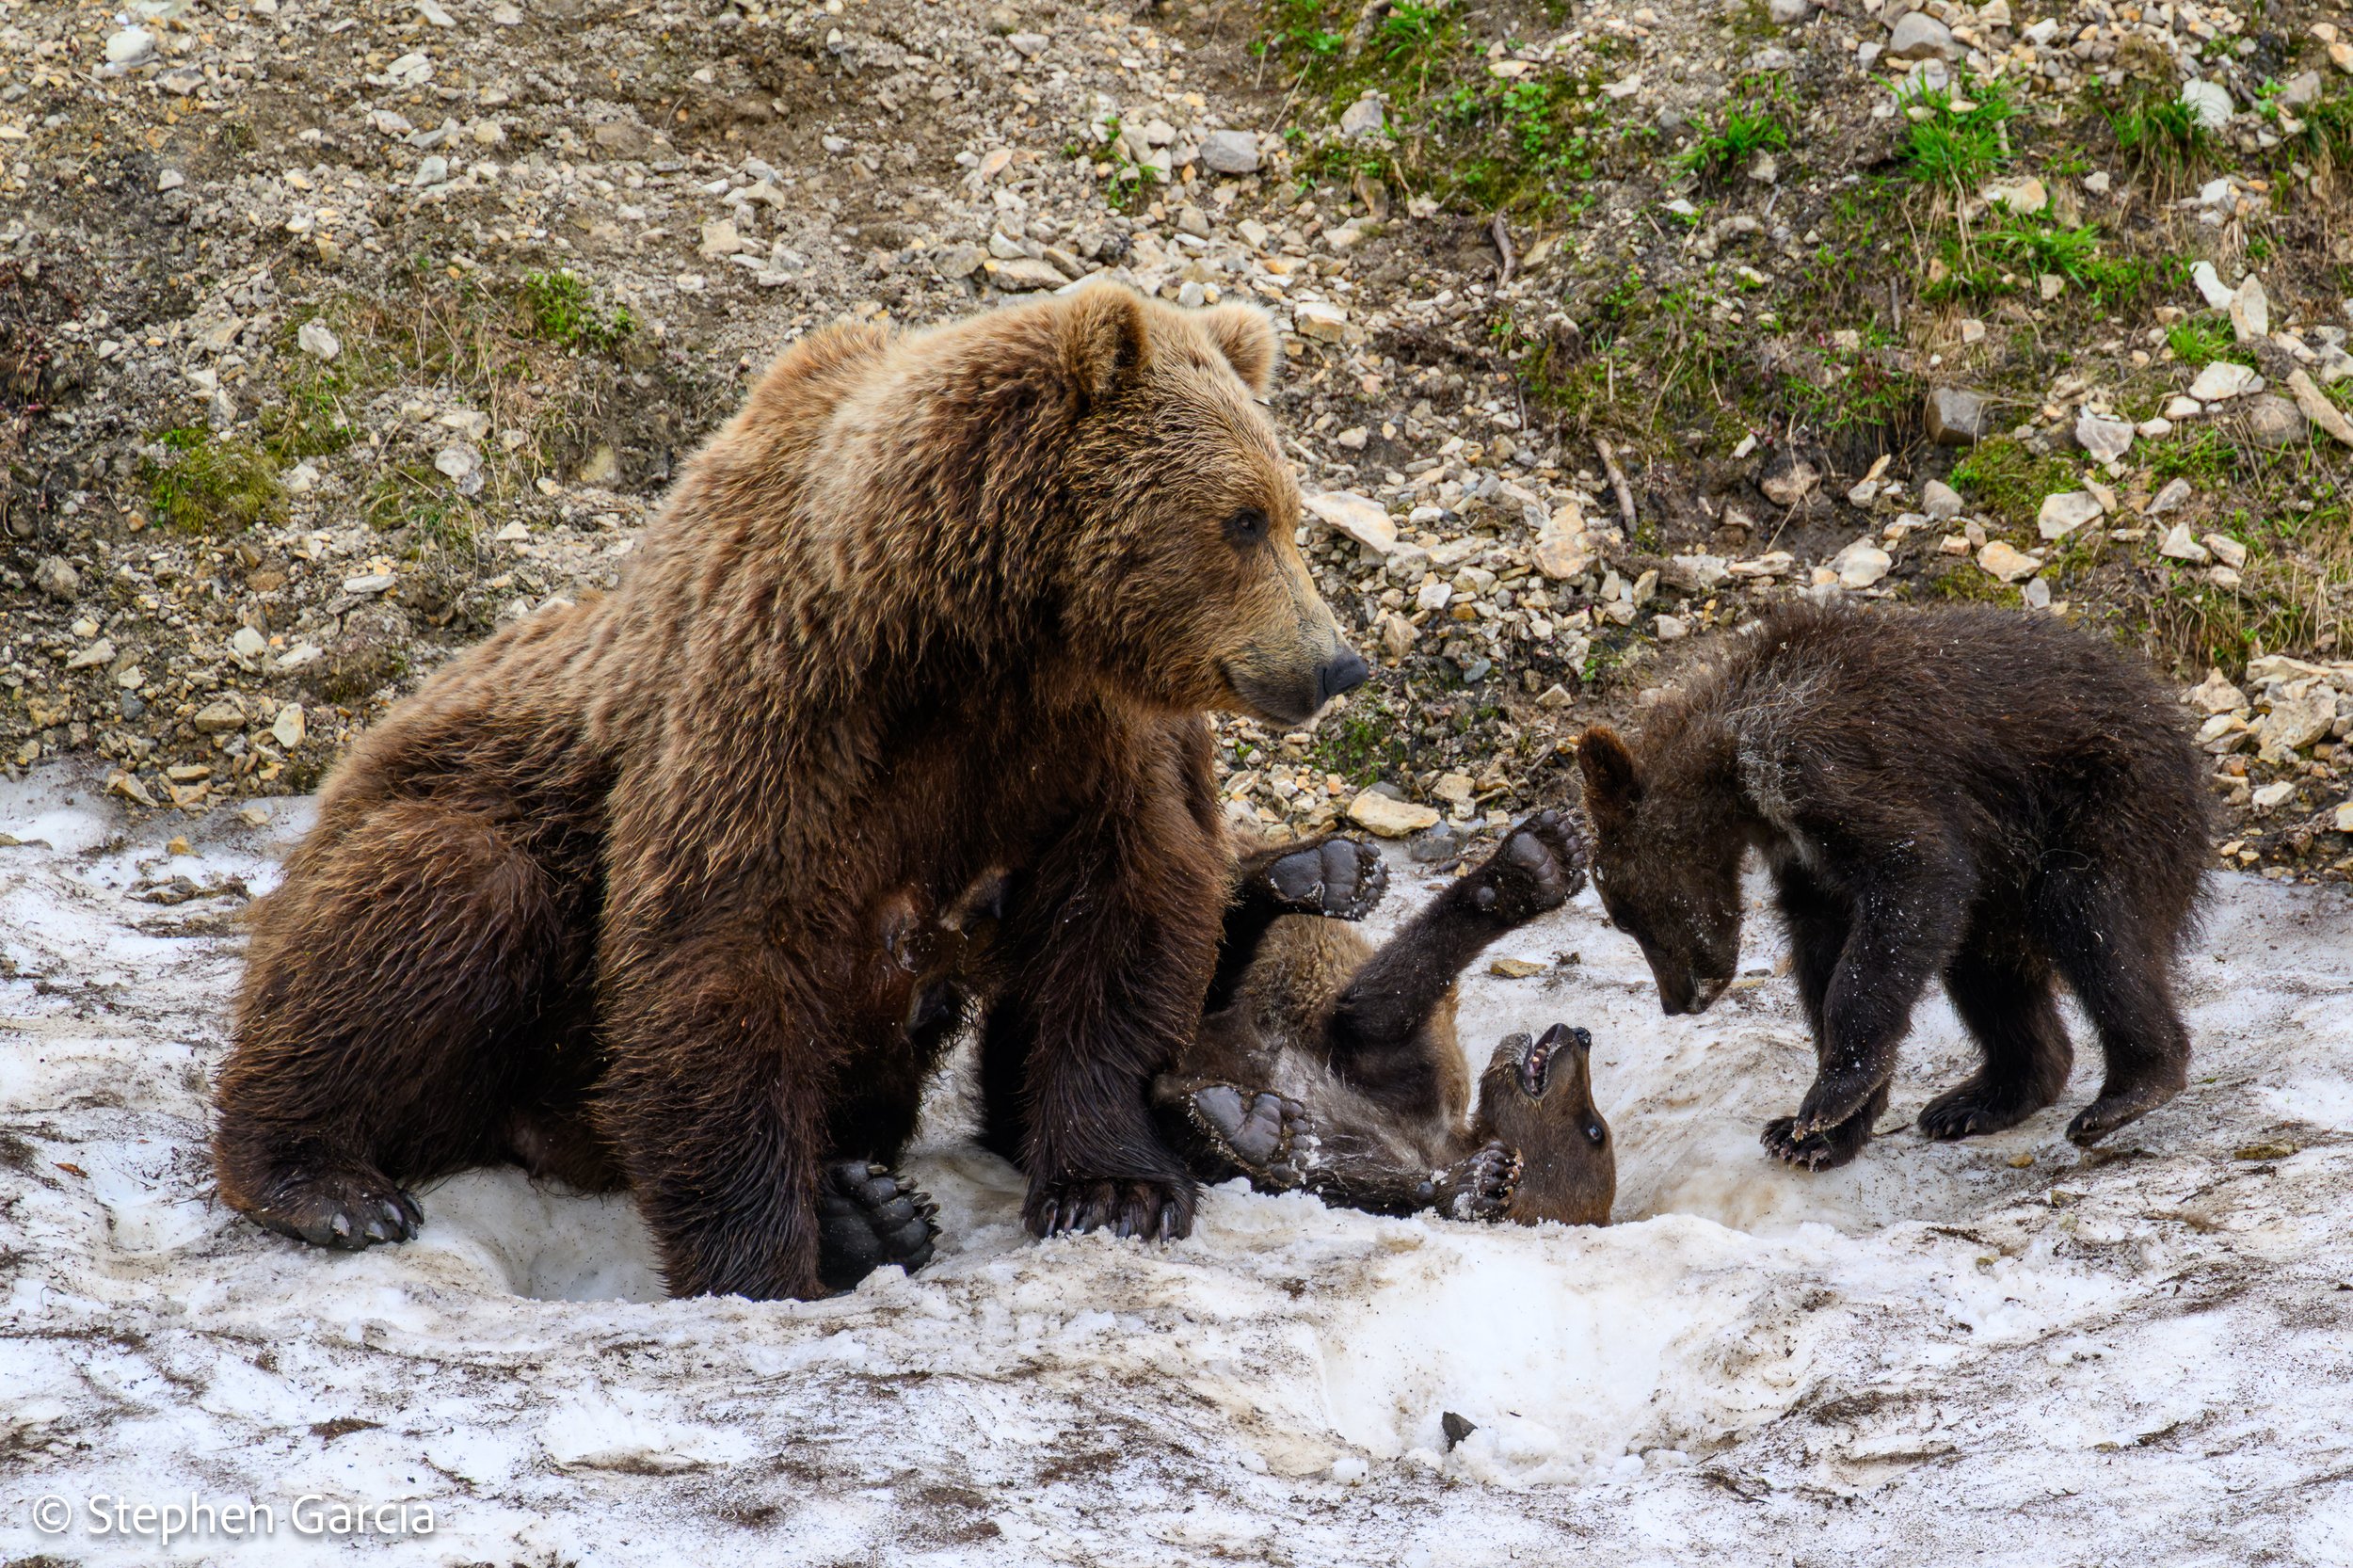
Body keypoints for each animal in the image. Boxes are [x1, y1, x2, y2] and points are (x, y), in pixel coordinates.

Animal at [210, 284, 1369, 1299]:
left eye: (1289, 512)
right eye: (1243, 519)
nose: (1335, 663)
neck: (980, 638)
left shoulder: (1092, 744)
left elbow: (1127, 913)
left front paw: (1114, 1187)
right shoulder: (790, 693)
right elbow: (722, 945)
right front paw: (761, 1265)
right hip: (457, 852)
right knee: (437, 896)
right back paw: (325, 1179)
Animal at [1152, 814, 1615, 1226]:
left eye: (1595, 1131)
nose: (1580, 1034)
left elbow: (1345, 1176)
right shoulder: (1413, 1078)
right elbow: (1379, 1009)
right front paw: (1534, 864)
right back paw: (1318, 872)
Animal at [1575, 601, 2208, 1171]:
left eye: (1625, 917)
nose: (1676, 1001)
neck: (1737, 772)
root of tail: (2169, 710)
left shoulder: (1834, 766)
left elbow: (1910, 883)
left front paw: (1827, 1101)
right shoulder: (1805, 861)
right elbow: (1824, 950)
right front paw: (1813, 1135)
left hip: (2111, 802)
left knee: (2093, 917)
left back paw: (2128, 1090)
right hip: (2005, 877)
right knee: (1986, 967)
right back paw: (1978, 1099)